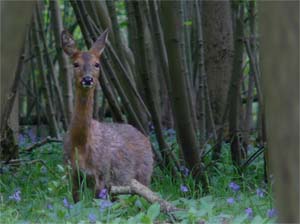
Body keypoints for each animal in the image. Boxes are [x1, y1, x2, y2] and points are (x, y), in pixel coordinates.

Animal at [61, 28, 154, 202]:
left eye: (97, 64)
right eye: (75, 64)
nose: (88, 79)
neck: (81, 146)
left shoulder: (102, 173)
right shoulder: (72, 173)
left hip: (143, 173)